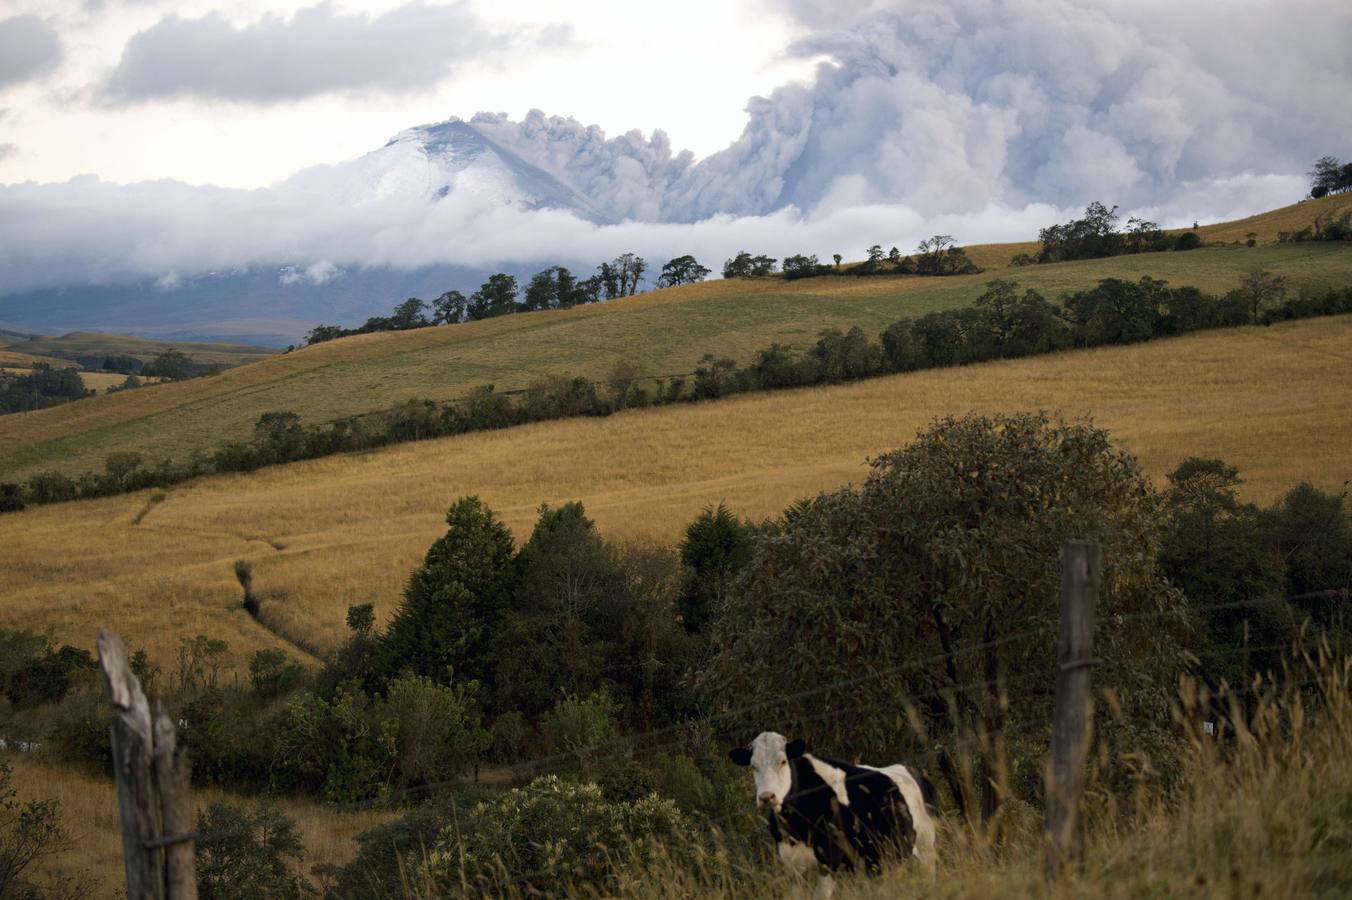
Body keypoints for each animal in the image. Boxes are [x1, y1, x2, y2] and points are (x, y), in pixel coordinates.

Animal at [730, 729, 940, 891]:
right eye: (753, 766)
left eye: (782, 761)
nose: (767, 797)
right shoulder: (790, 864)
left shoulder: (829, 860)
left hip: (925, 848)